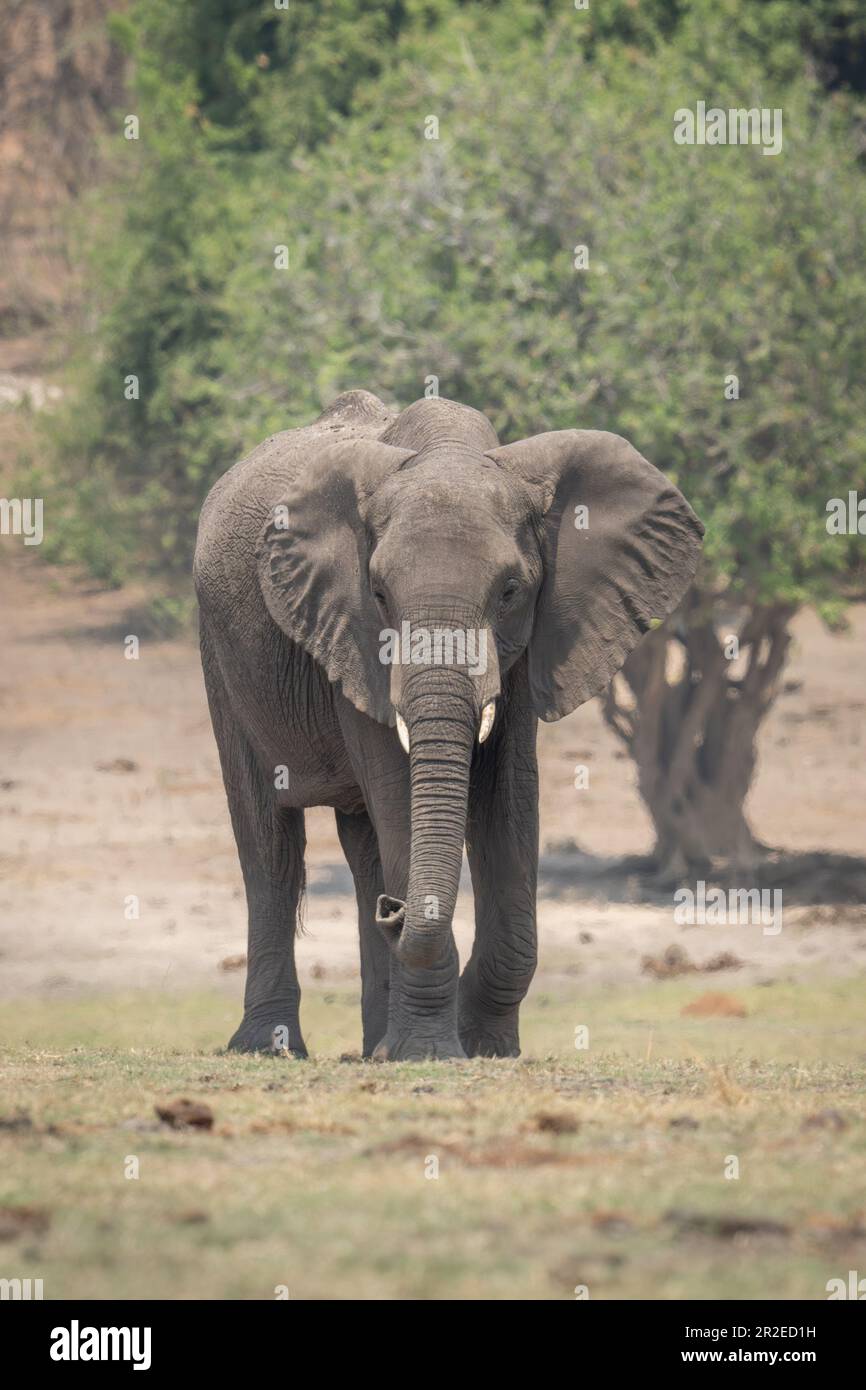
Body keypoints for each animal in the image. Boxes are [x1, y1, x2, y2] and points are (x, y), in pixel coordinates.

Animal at [194, 390, 703, 1060]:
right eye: (379, 594)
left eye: (511, 591)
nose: (396, 911)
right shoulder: (350, 631)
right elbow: (397, 786)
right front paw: (429, 1052)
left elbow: (508, 793)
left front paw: (483, 1048)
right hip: (220, 654)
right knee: (269, 845)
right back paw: (270, 1048)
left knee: (363, 846)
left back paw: (375, 1045)